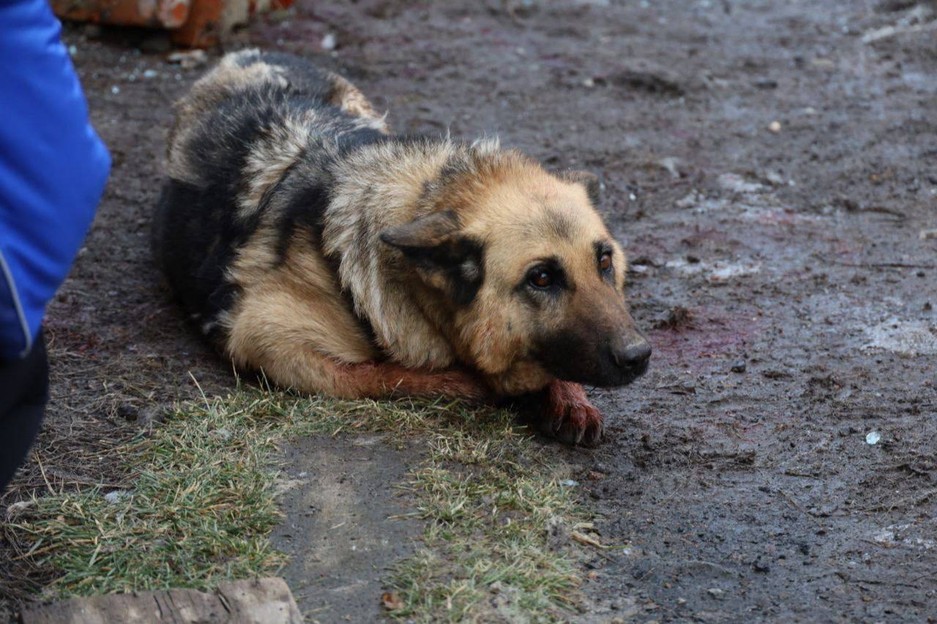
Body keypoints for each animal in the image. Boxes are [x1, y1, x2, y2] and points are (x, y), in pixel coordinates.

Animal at [154, 52, 652, 444]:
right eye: (542, 277)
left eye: (604, 261)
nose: (639, 356)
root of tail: (240, 54)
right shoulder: (266, 337)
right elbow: (380, 375)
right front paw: (474, 384)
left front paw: (568, 395)